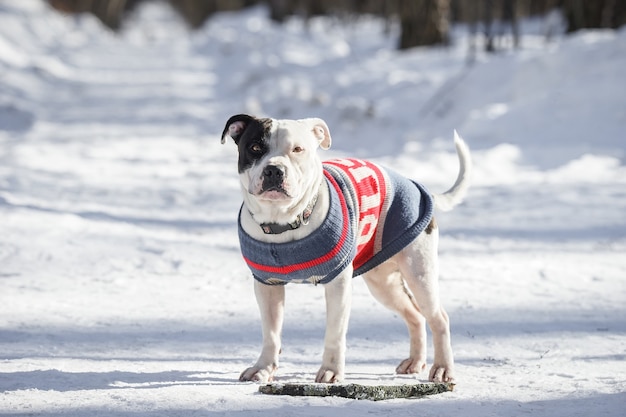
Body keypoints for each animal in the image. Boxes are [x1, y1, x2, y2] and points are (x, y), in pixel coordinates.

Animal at [219, 114, 468, 384]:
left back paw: (443, 368)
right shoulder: (267, 286)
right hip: (383, 284)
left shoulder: (337, 284)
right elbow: (271, 333)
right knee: (414, 314)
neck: (284, 221)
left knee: (438, 317)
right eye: (255, 147)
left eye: (297, 149)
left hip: (419, 273)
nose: (274, 169)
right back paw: (415, 361)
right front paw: (263, 368)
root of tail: (414, 184)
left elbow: (335, 333)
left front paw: (331, 371)